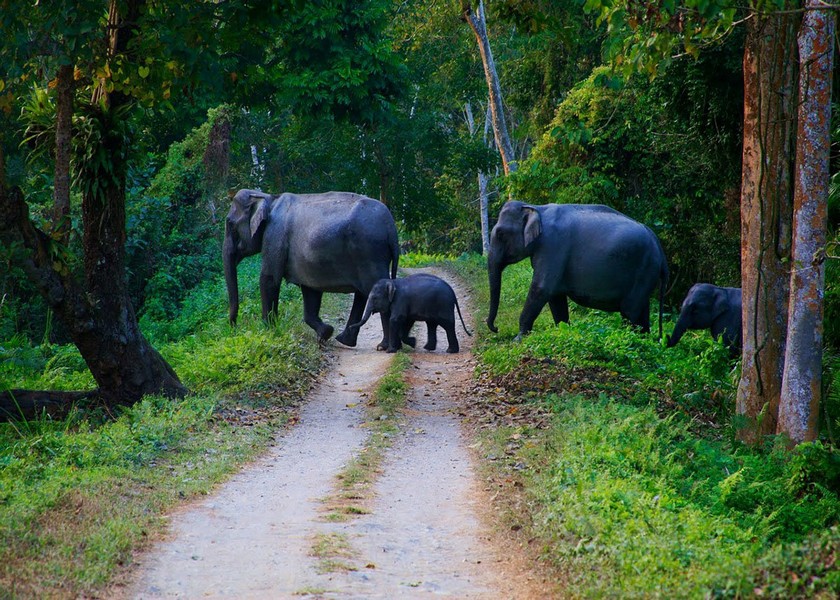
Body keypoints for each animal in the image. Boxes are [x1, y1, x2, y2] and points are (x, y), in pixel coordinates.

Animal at [221, 188, 398, 346]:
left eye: (229, 223)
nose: (233, 328)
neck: (268, 198)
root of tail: (391, 228)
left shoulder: (274, 235)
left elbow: (269, 279)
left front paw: (268, 332)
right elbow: (310, 290)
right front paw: (325, 333)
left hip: (369, 253)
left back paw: (384, 346)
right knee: (363, 294)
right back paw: (344, 341)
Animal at [486, 200, 668, 338]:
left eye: (500, 234)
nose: (496, 328)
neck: (537, 208)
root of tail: (658, 245)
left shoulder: (553, 246)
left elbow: (541, 288)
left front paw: (518, 339)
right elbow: (556, 297)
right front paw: (563, 331)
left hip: (644, 270)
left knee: (630, 312)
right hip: (646, 275)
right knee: (642, 312)